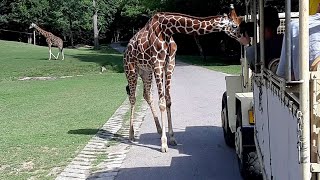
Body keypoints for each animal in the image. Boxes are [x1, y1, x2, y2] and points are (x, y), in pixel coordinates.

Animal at [124, 7, 241, 153]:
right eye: (234, 25)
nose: (244, 37)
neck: (167, 29)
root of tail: (126, 49)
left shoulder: (170, 64)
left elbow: (168, 101)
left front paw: (172, 138)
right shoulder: (158, 64)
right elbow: (162, 103)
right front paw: (164, 144)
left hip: (146, 72)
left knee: (147, 95)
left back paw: (158, 130)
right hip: (131, 70)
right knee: (133, 98)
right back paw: (131, 135)